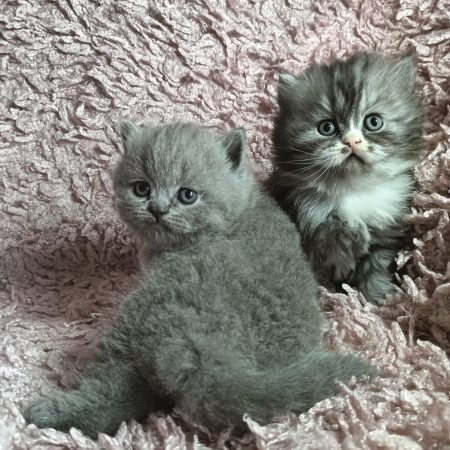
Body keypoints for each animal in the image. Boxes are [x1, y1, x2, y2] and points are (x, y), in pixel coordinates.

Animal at [24, 121, 376, 438]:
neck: (242, 210)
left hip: (134, 322)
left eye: (187, 195)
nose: (157, 209)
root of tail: (209, 348)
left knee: (110, 390)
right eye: (142, 188)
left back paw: (46, 414)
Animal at [266, 53, 424, 306]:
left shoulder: (384, 235)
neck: (351, 189)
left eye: (373, 122)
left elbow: (377, 270)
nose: (351, 141)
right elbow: (325, 266)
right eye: (326, 127)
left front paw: (378, 299)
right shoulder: (309, 235)